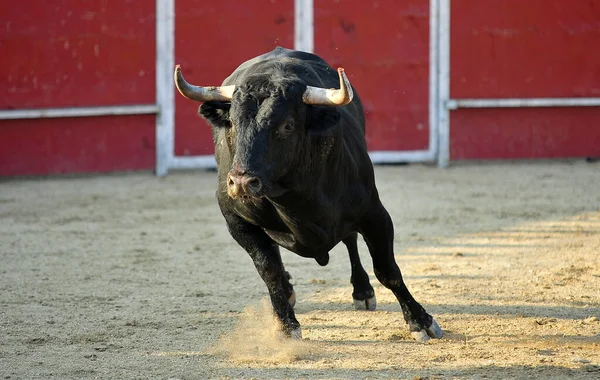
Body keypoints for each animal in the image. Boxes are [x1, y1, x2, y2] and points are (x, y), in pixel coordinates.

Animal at [173, 46, 440, 342]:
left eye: (287, 125)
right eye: (231, 122)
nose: (241, 182)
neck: (294, 199)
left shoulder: (374, 214)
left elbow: (387, 269)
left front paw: (420, 321)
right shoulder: (237, 221)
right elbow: (270, 272)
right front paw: (287, 326)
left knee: (350, 240)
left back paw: (362, 291)